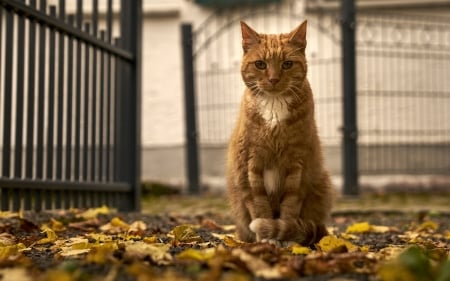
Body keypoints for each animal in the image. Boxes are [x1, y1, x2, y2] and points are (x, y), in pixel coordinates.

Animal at [227, 20, 332, 244]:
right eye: (260, 64)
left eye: (287, 64)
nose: (274, 79)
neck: (274, 107)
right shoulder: (251, 164)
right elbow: (259, 206)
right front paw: (266, 238)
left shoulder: (297, 164)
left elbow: (290, 207)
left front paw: (289, 237)